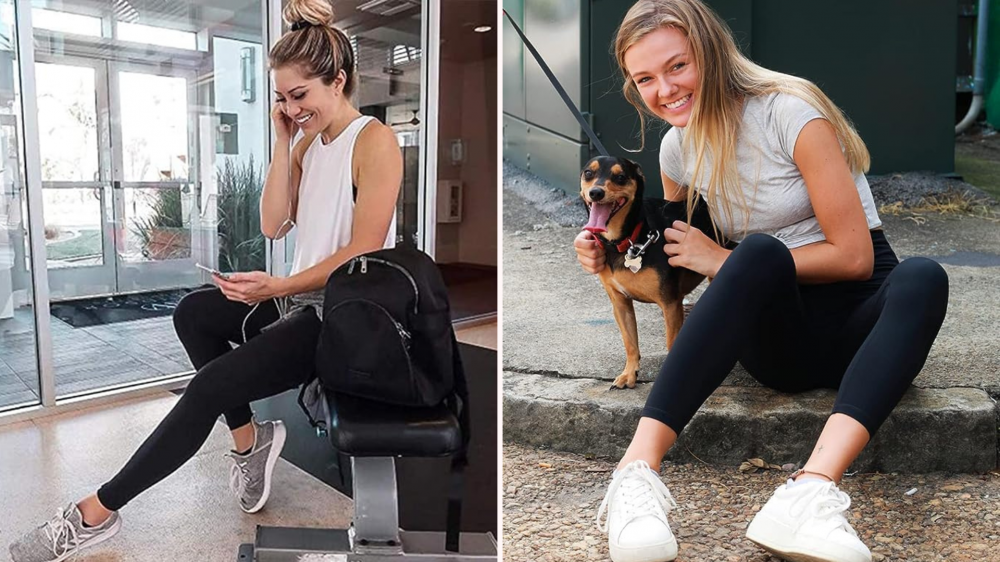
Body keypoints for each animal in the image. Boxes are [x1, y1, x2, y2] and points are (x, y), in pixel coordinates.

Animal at [584, 155, 716, 388]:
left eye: (620, 177)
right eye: (588, 173)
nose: (596, 193)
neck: (627, 239)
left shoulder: (670, 303)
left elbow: (672, 343)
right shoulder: (620, 303)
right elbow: (630, 342)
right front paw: (629, 373)